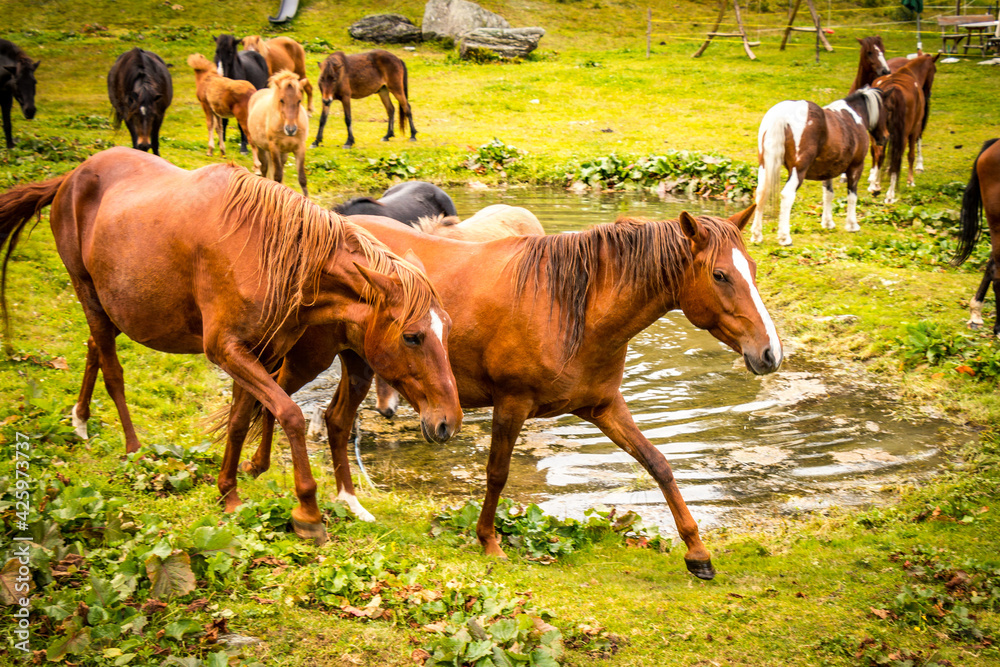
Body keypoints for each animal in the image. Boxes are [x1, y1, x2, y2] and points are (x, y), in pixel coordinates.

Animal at [0, 147, 461, 544]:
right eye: (413, 336)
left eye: (447, 330)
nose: (449, 422)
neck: (270, 254)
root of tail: (72, 176)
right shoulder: (226, 350)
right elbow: (290, 415)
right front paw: (307, 513)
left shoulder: (261, 353)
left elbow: (242, 419)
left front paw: (229, 494)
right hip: (87, 292)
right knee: (114, 371)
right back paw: (134, 451)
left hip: (111, 304)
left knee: (94, 347)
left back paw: (80, 420)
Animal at [239, 206, 782, 579]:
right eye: (720, 275)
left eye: (753, 269)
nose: (770, 353)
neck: (575, 309)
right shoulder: (512, 404)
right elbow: (497, 475)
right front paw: (489, 542)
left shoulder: (604, 406)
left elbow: (659, 465)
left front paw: (698, 554)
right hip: (313, 357)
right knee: (271, 393)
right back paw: (257, 469)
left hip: (361, 365)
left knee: (333, 419)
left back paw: (350, 502)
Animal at [751, 87, 886, 246]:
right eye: (887, 110)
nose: (884, 138)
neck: (854, 118)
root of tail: (782, 115)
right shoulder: (856, 167)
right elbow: (852, 196)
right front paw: (852, 225)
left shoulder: (827, 170)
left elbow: (828, 194)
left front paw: (827, 223)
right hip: (798, 171)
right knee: (787, 195)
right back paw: (785, 237)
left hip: (765, 166)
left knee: (761, 193)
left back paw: (757, 235)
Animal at [870, 54, 938, 201]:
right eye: (934, 70)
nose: (928, 93)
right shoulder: (914, 129)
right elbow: (910, 155)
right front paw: (910, 180)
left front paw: (877, 182)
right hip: (904, 134)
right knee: (897, 157)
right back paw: (890, 193)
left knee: (879, 154)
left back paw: (874, 185)